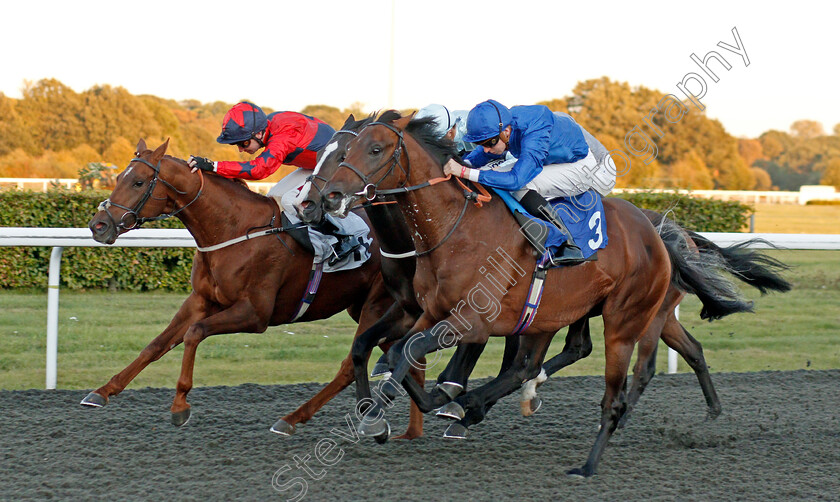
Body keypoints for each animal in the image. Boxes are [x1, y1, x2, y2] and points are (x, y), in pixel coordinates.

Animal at [85, 139, 424, 438]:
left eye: (139, 182)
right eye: (119, 177)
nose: (98, 225)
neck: (233, 229)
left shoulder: (255, 313)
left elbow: (194, 333)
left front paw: (180, 405)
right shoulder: (200, 300)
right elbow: (155, 345)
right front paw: (102, 391)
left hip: (377, 304)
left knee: (352, 364)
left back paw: (293, 419)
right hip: (366, 307)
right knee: (402, 353)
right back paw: (413, 430)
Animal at [310, 113, 756, 478]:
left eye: (374, 149)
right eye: (344, 150)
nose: (328, 197)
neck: (453, 229)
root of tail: (659, 233)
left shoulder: (472, 322)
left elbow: (410, 354)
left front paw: (404, 407)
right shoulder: (427, 311)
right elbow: (391, 352)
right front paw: (412, 404)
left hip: (627, 318)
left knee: (615, 381)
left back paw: (588, 461)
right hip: (560, 311)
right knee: (551, 359)